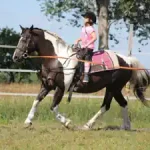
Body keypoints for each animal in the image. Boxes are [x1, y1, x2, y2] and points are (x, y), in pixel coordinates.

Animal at [12, 24, 150, 130]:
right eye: (20, 38)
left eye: (26, 39)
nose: (16, 57)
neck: (58, 61)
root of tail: (128, 61)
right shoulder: (46, 86)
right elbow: (36, 101)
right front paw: (28, 121)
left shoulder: (61, 88)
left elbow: (53, 107)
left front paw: (67, 123)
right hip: (113, 89)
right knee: (120, 104)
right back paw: (123, 126)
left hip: (113, 88)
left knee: (109, 105)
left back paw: (91, 125)